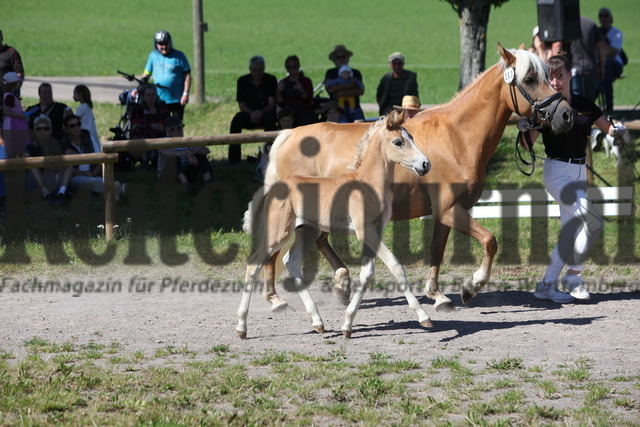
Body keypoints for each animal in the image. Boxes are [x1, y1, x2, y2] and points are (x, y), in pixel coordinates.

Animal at [238, 111, 432, 342]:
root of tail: (274, 186)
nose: (425, 164)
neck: (368, 183)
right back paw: (242, 327)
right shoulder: (366, 232)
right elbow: (396, 267)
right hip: (279, 233)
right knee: (253, 265)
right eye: (398, 142)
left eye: (411, 137)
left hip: (307, 231)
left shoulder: (373, 232)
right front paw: (424, 317)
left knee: (291, 261)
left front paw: (347, 326)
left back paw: (318, 322)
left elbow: (367, 274)